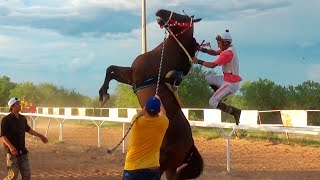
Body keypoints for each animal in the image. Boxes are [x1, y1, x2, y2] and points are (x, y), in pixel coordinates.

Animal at [99, 9, 202, 179]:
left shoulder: (133, 75)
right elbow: (111, 69)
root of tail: (191, 144)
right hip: (171, 168)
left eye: (181, 17)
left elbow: (111, 70)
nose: (160, 11)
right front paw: (103, 95)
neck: (161, 57)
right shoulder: (130, 77)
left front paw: (103, 95)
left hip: (162, 164)